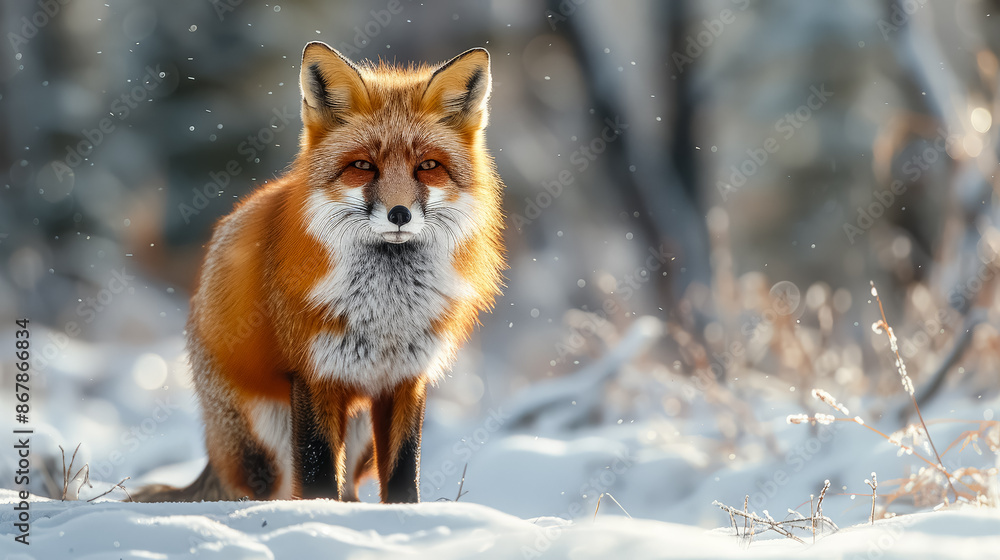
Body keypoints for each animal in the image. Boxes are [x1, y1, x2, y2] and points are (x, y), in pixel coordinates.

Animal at [132, 42, 505, 503]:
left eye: (427, 165)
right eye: (363, 166)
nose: (399, 214)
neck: (387, 310)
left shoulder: (405, 379)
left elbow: (403, 471)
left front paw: (406, 516)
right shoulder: (313, 374)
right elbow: (316, 470)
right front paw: (318, 515)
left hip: (359, 433)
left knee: (351, 487)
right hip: (264, 443)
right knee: (265, 488)